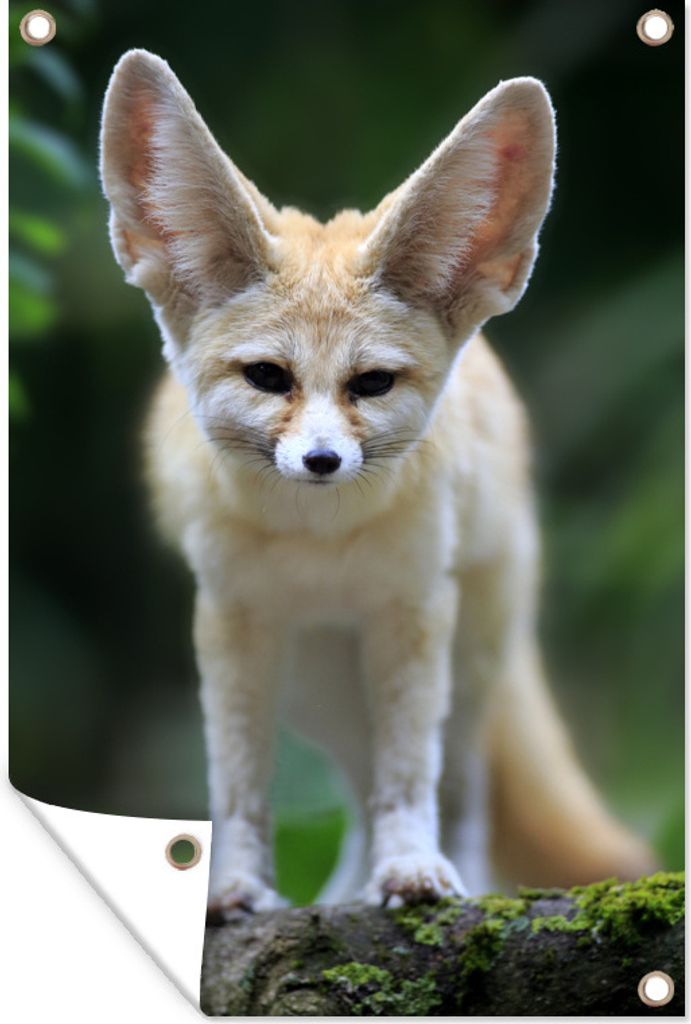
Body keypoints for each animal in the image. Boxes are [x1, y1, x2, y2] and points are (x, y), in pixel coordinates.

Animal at [99, 50, 655, 914]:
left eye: (371, 385)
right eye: (268, 377)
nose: (322, 461)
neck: (319, 547)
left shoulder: (412, 609)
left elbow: (410, 777)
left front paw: (413, 869)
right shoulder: (234, 619)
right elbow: (238, 785)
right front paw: (235, 890)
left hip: (463, 669)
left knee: (458, 791)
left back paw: (446, 879)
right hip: (319, 689)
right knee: (358, 794)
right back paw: (339, 894)